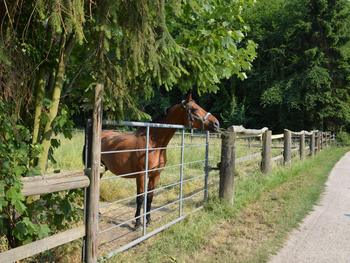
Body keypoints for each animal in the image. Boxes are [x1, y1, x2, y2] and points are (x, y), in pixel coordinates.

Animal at [100, 94, 219, 228]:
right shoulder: (141, 175)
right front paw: (137, 223)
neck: (153, 143)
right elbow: (140, 198)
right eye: (194, 109)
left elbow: (150, 197)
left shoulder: (155, 175)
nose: (216, 123)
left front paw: (148, 221)